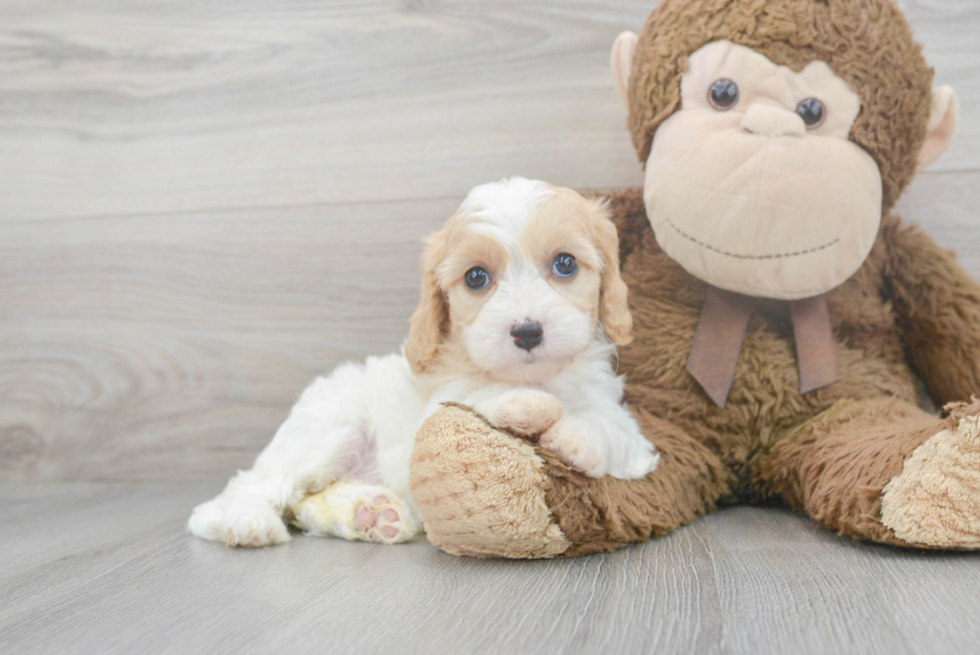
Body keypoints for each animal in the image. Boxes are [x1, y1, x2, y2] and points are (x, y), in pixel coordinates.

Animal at [188, 178, 660, 548]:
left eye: (565, 264)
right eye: (476, 277)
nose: (527, 331)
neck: (533, 375)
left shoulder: (630, 432)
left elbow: (613, 430)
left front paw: (579, 437)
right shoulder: (438, 407)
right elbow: (477, 398)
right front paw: (523, 405)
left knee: (303, 503)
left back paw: (370, 513)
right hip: (327, 430)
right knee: (252, 487)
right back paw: (244, 521)